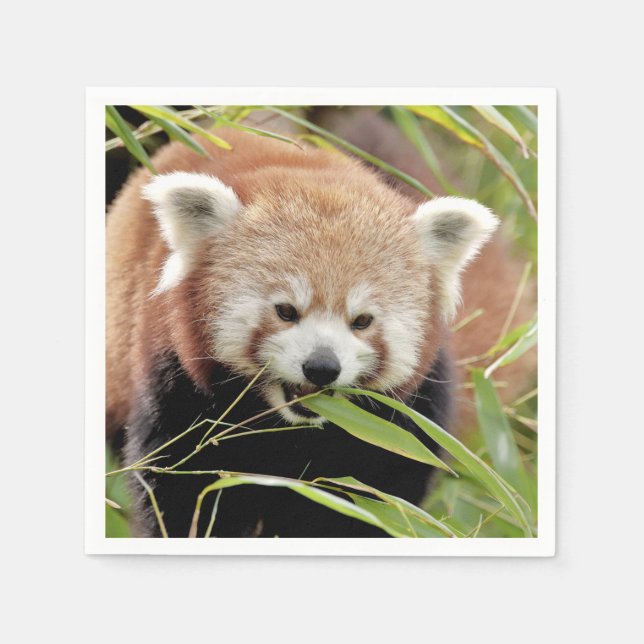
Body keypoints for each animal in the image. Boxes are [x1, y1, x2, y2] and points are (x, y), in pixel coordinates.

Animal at [106, 119, 514, 538]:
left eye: (362, 321)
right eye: (286, 311)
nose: (321, 367)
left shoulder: (404, 421)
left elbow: (376, 501)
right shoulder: (175, 385)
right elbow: (182, 491)